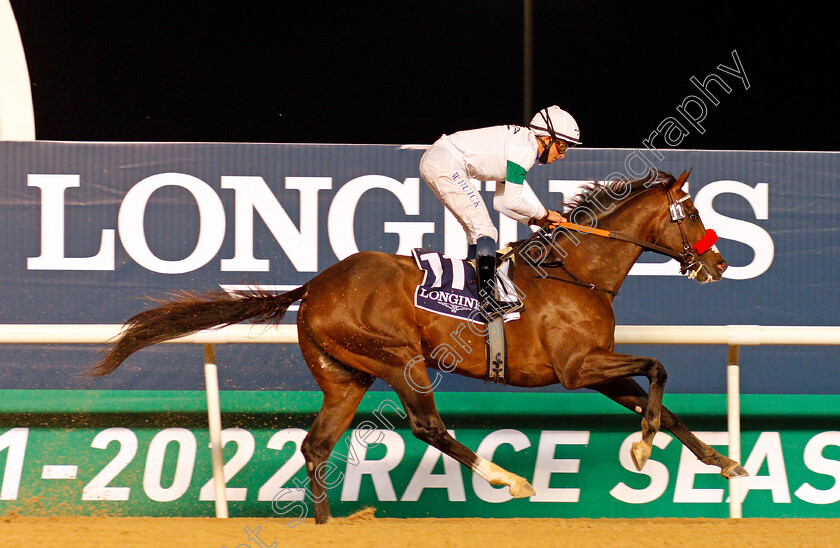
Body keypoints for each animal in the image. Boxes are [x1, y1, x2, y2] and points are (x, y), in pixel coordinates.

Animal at [90, 171, 748, 524]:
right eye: (691, 212)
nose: (717, 263)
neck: (577, 273)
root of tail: (317, 285)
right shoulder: (575, 367)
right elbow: (658, 368)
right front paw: (642, 448)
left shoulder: (597, 370)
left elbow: (660, 399)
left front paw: (723, 462)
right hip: (401, 359)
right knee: (427, 426)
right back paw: (508, 480)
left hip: (345, 377)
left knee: (316, 445)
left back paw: (328, 523)